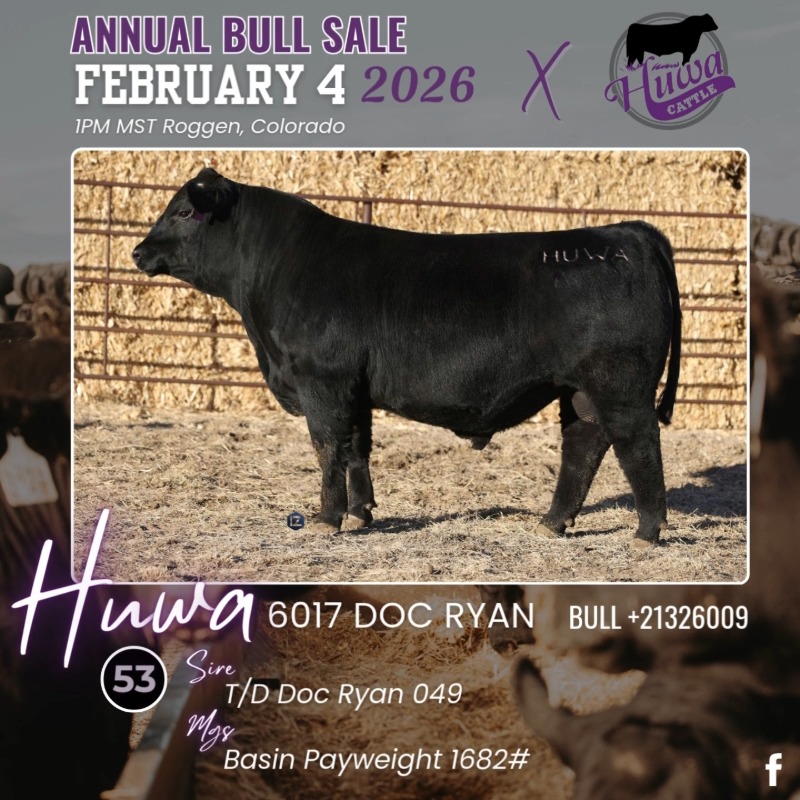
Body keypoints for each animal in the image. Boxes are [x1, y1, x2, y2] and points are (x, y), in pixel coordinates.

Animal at [132, 167, 681, 546]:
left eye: (184, 212)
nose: (138, 252)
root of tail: (627, 232)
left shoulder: (323, 383)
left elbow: (327, 448)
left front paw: (327, 519)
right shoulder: (354, 389)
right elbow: (357, 448)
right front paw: (361, 513)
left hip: (620, 384)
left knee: (638, 443)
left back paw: (646, 531)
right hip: (579, 390)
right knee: (584, 445)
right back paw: (552, 523)